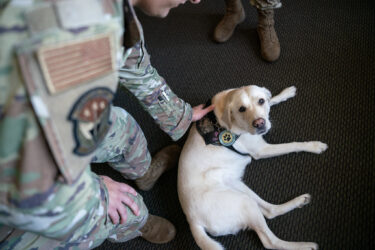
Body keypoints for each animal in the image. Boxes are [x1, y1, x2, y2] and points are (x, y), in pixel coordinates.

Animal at [178, 85, 328, 250]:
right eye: (241, 109)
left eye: (261, 101)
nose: (259, 123)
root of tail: (193, 221)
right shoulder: (261, 150)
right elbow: (293, 145)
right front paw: (313, 146)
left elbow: (271, 100)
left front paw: (285, 93)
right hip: (244, 203)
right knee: (270, 241)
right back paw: (304, 245)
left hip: (240, 189)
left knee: (270, 211)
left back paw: (299, 201)